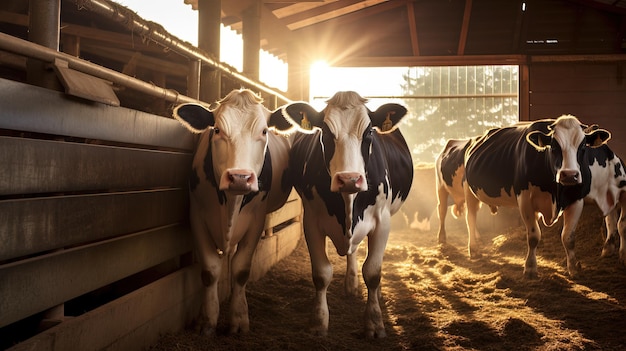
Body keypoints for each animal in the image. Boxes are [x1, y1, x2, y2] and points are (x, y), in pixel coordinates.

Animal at [171, 89, 292, 336]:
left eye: (264, 131)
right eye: (217, 130)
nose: (239, 177)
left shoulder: (256, 220)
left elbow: (241, 269)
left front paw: (238, 318)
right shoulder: (196, 215)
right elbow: (210, 270)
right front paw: (207, 320)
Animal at [276, 92, 412, 340]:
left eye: (369, 133)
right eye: (326, 132)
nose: (349, 179)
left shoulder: (382, 222)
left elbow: (373, 272)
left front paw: (374, 323)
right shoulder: (311, 221)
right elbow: (321, 273)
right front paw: (318, 322)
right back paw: (351, 284)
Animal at [460, 117, 608, 280]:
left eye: (583, 147)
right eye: (554, 146)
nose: (569, 175)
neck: (555, 192)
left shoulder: (576, 200)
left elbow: (568, 237)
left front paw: (574, 268)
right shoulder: (525, 200)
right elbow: (533, 236)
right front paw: (530, 269)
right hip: (468, 190)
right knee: (471, 218)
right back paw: (474, 249)